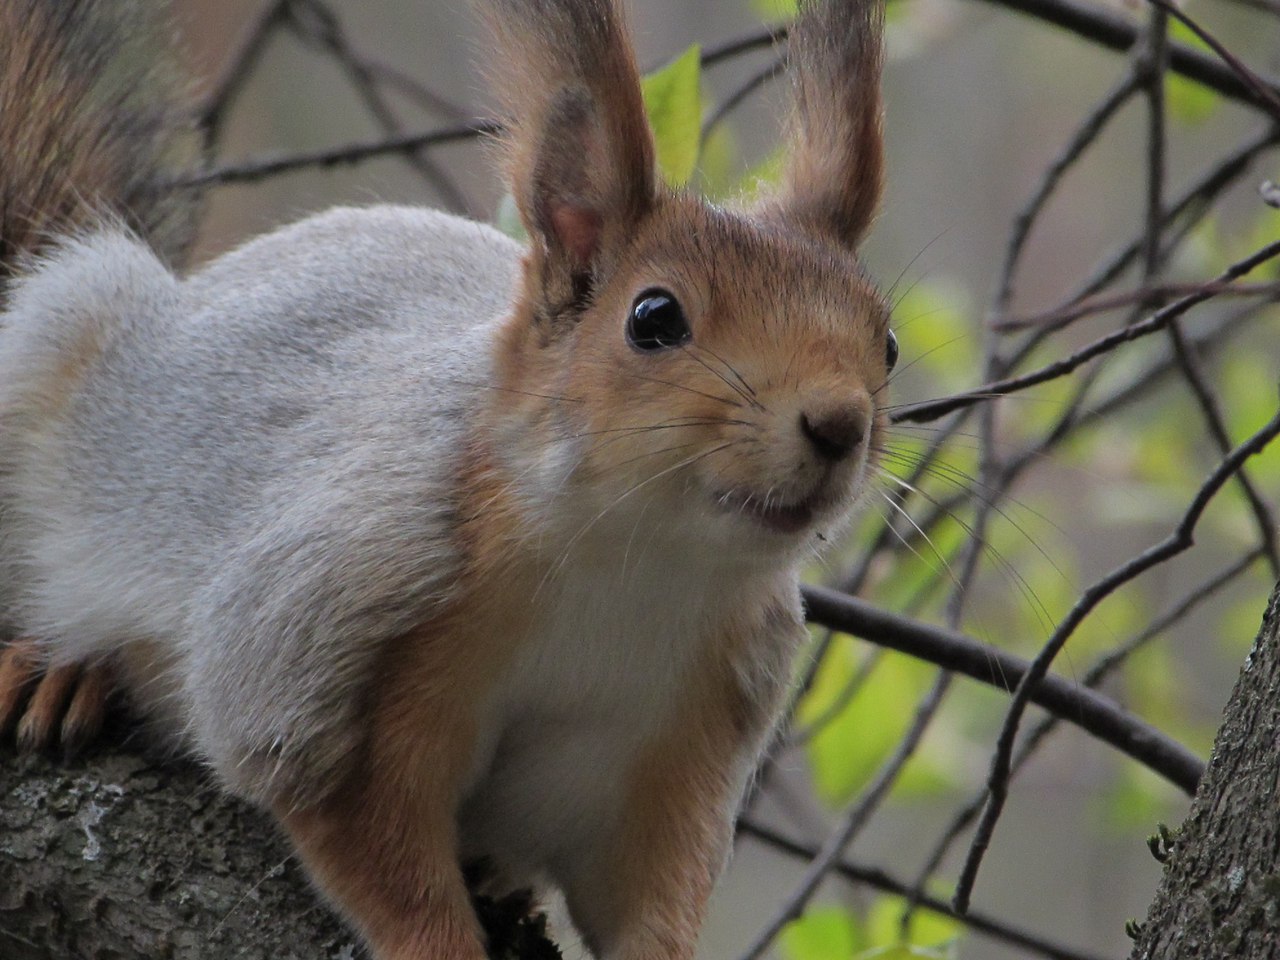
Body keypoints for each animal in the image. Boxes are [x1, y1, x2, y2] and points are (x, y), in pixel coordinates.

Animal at [0, 1, 896, 960]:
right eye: (654, 318)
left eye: (885, 342)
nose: (839, 424)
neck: (633, 565)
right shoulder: (331, 644)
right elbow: (369, 842)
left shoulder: (678, 745)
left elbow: (652, 894)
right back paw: (59, 672)